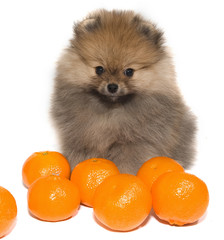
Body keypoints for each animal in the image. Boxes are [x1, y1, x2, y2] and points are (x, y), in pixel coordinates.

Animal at [50, 9, 196, 174]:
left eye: (129, 71)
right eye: (99, 69)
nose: (112, 86)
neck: (111, 111)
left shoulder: (134, 142)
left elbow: (128, 165)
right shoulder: (83, 138)